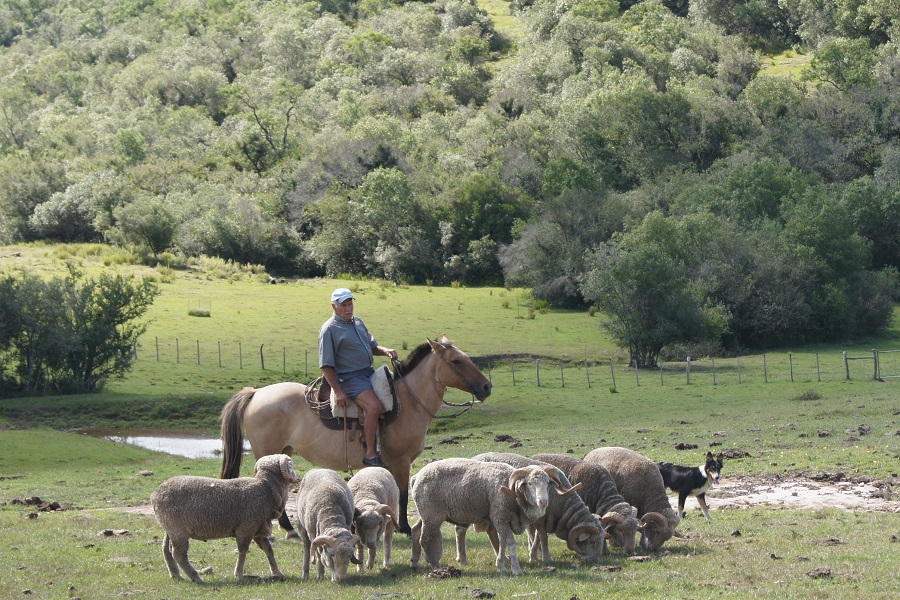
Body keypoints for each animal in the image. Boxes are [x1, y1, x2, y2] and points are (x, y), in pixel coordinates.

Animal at [150, 452, 298, 584]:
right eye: (291, 464)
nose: (298, 477)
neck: (266, 487)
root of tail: (154, 495)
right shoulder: (246, 528)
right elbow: (243, 551)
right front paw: (239, 574)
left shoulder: (258, 531)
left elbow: (269, 550)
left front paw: (277, 572)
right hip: (178, 530)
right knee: (178, 554)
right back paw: (196, 577)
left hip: (170, 528)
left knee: (166, 550)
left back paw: (176, 575)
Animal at [219, 338, 492, 536]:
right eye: (457, 361)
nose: (487, 387)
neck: (407, 402)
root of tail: (255, 393)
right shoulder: (401, 462)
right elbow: (403, 496)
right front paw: (404, 528)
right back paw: (289, 530)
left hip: (282, 452)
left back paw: (288, 528)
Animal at [410, 454, 560, 576]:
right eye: (529, 483)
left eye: (548, 483)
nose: (543, 501)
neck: (512, 491)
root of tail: (416, 476)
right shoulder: (500, 517)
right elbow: (510, 542)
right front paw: (516, 569)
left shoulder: (502, 520)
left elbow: (502, 542)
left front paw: (501, 565)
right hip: (431, 515)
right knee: (426, 539)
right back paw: (436, 567)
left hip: (427, 514)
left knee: (416, 530)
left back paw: (414, 562)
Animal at [468, 452, 608, 564]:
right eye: (592, 541)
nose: (594, 561)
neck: (563, 505)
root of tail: (475, 457)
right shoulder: (540, 519)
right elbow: (543, 538)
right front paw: (546, 558)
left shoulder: (540, 519)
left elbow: (536, 538)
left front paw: (533, 555)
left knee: (492, 532)